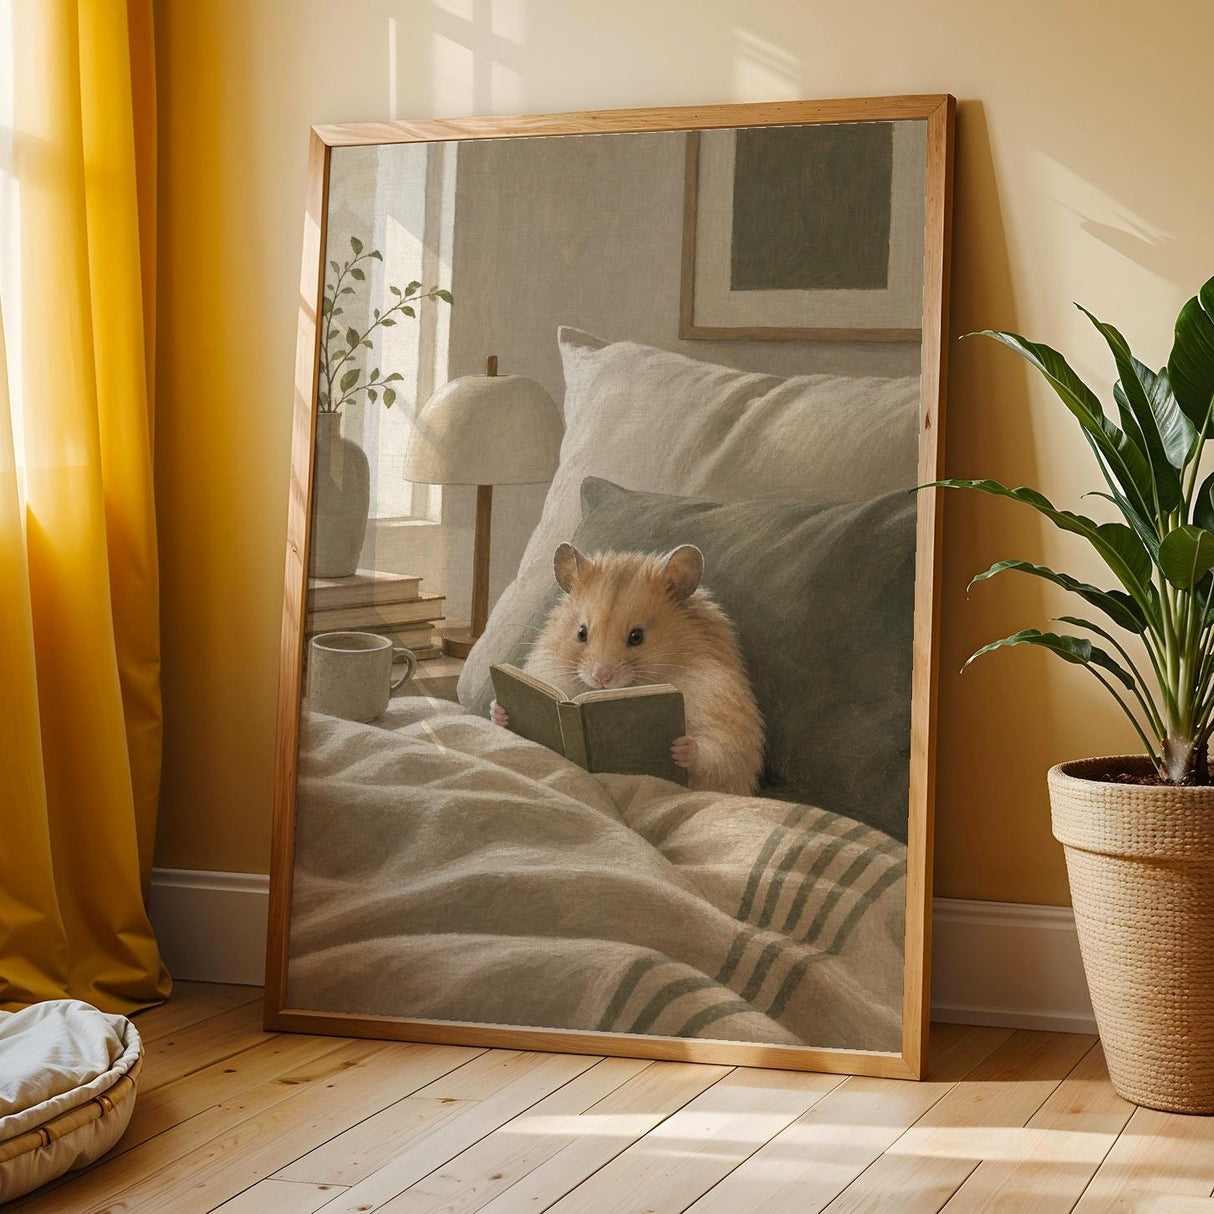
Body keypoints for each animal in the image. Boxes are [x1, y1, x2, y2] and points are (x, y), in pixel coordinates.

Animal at [492, 542, 764, 796]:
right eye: (581, 633)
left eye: (637, 637)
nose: (600, 678)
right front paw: (499, 711)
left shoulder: (725, 719)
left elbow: (716, 752)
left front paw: (680, 746)